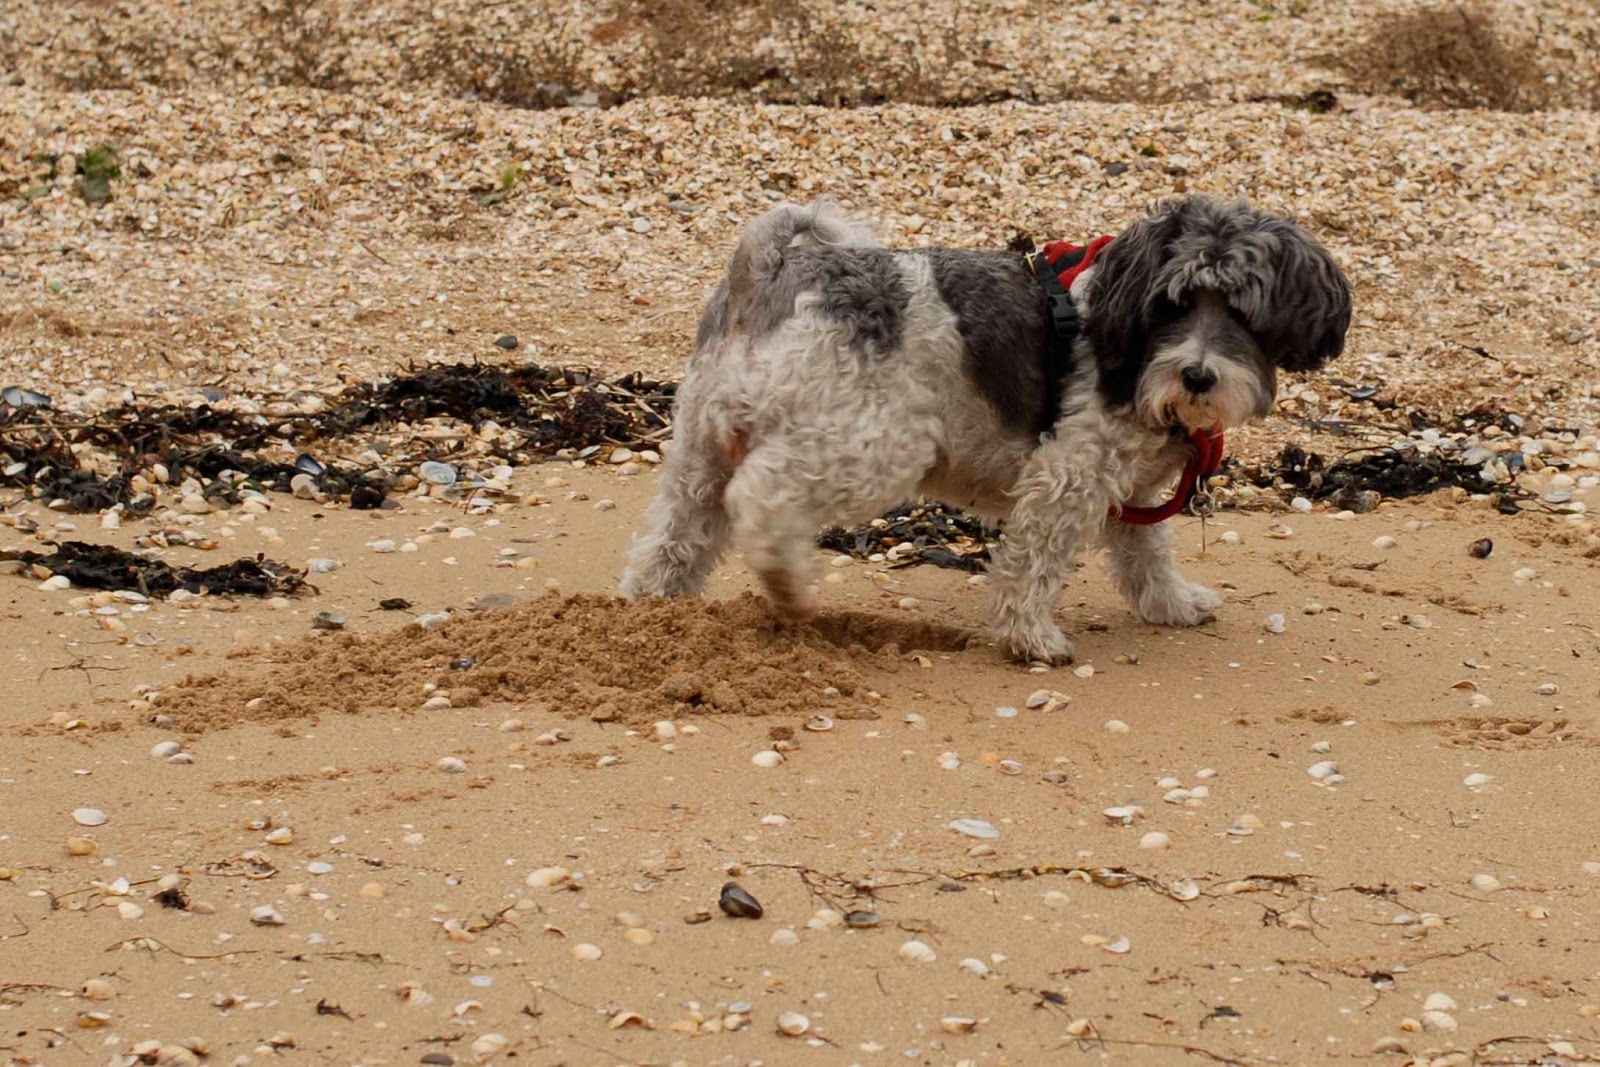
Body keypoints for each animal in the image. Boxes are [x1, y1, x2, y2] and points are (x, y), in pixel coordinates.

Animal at [619, 194, 1351, 664]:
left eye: (1244, 313)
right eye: (1173, 304)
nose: (1197, 375)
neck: (1127, 336)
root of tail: (770, 268)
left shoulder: (1134, 492)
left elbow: (1146, 553)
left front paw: (1169, 603)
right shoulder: (1067, 476)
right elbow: (1032, 562)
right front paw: (1031, 637)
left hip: (700, 447)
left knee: (676, 538)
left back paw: (651, 613)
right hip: (873, 448)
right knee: (761, 496)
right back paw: (787, 583)